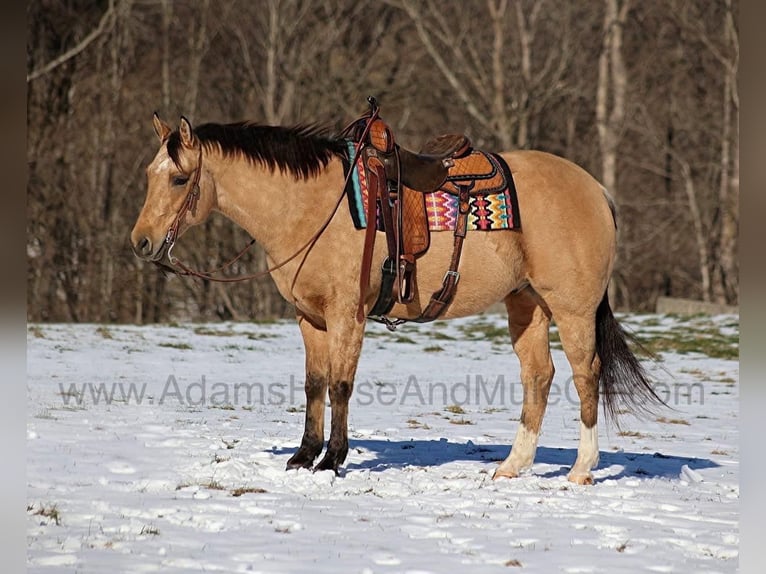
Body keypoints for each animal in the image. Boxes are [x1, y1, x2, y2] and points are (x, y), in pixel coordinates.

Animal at [130, 112, 661, 485]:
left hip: (572, 309)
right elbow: (314, 385)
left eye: (179, 179)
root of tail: (595, 188)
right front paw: (303, 456)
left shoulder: (348, 314)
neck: (313, 206)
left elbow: (340, 385)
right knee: (539, 377)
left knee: (586, 375)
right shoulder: (309, 318)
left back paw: (581, 469)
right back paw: (513, 465)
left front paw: (333, 460)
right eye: (149, 175)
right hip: (525, 303)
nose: (141, 242)